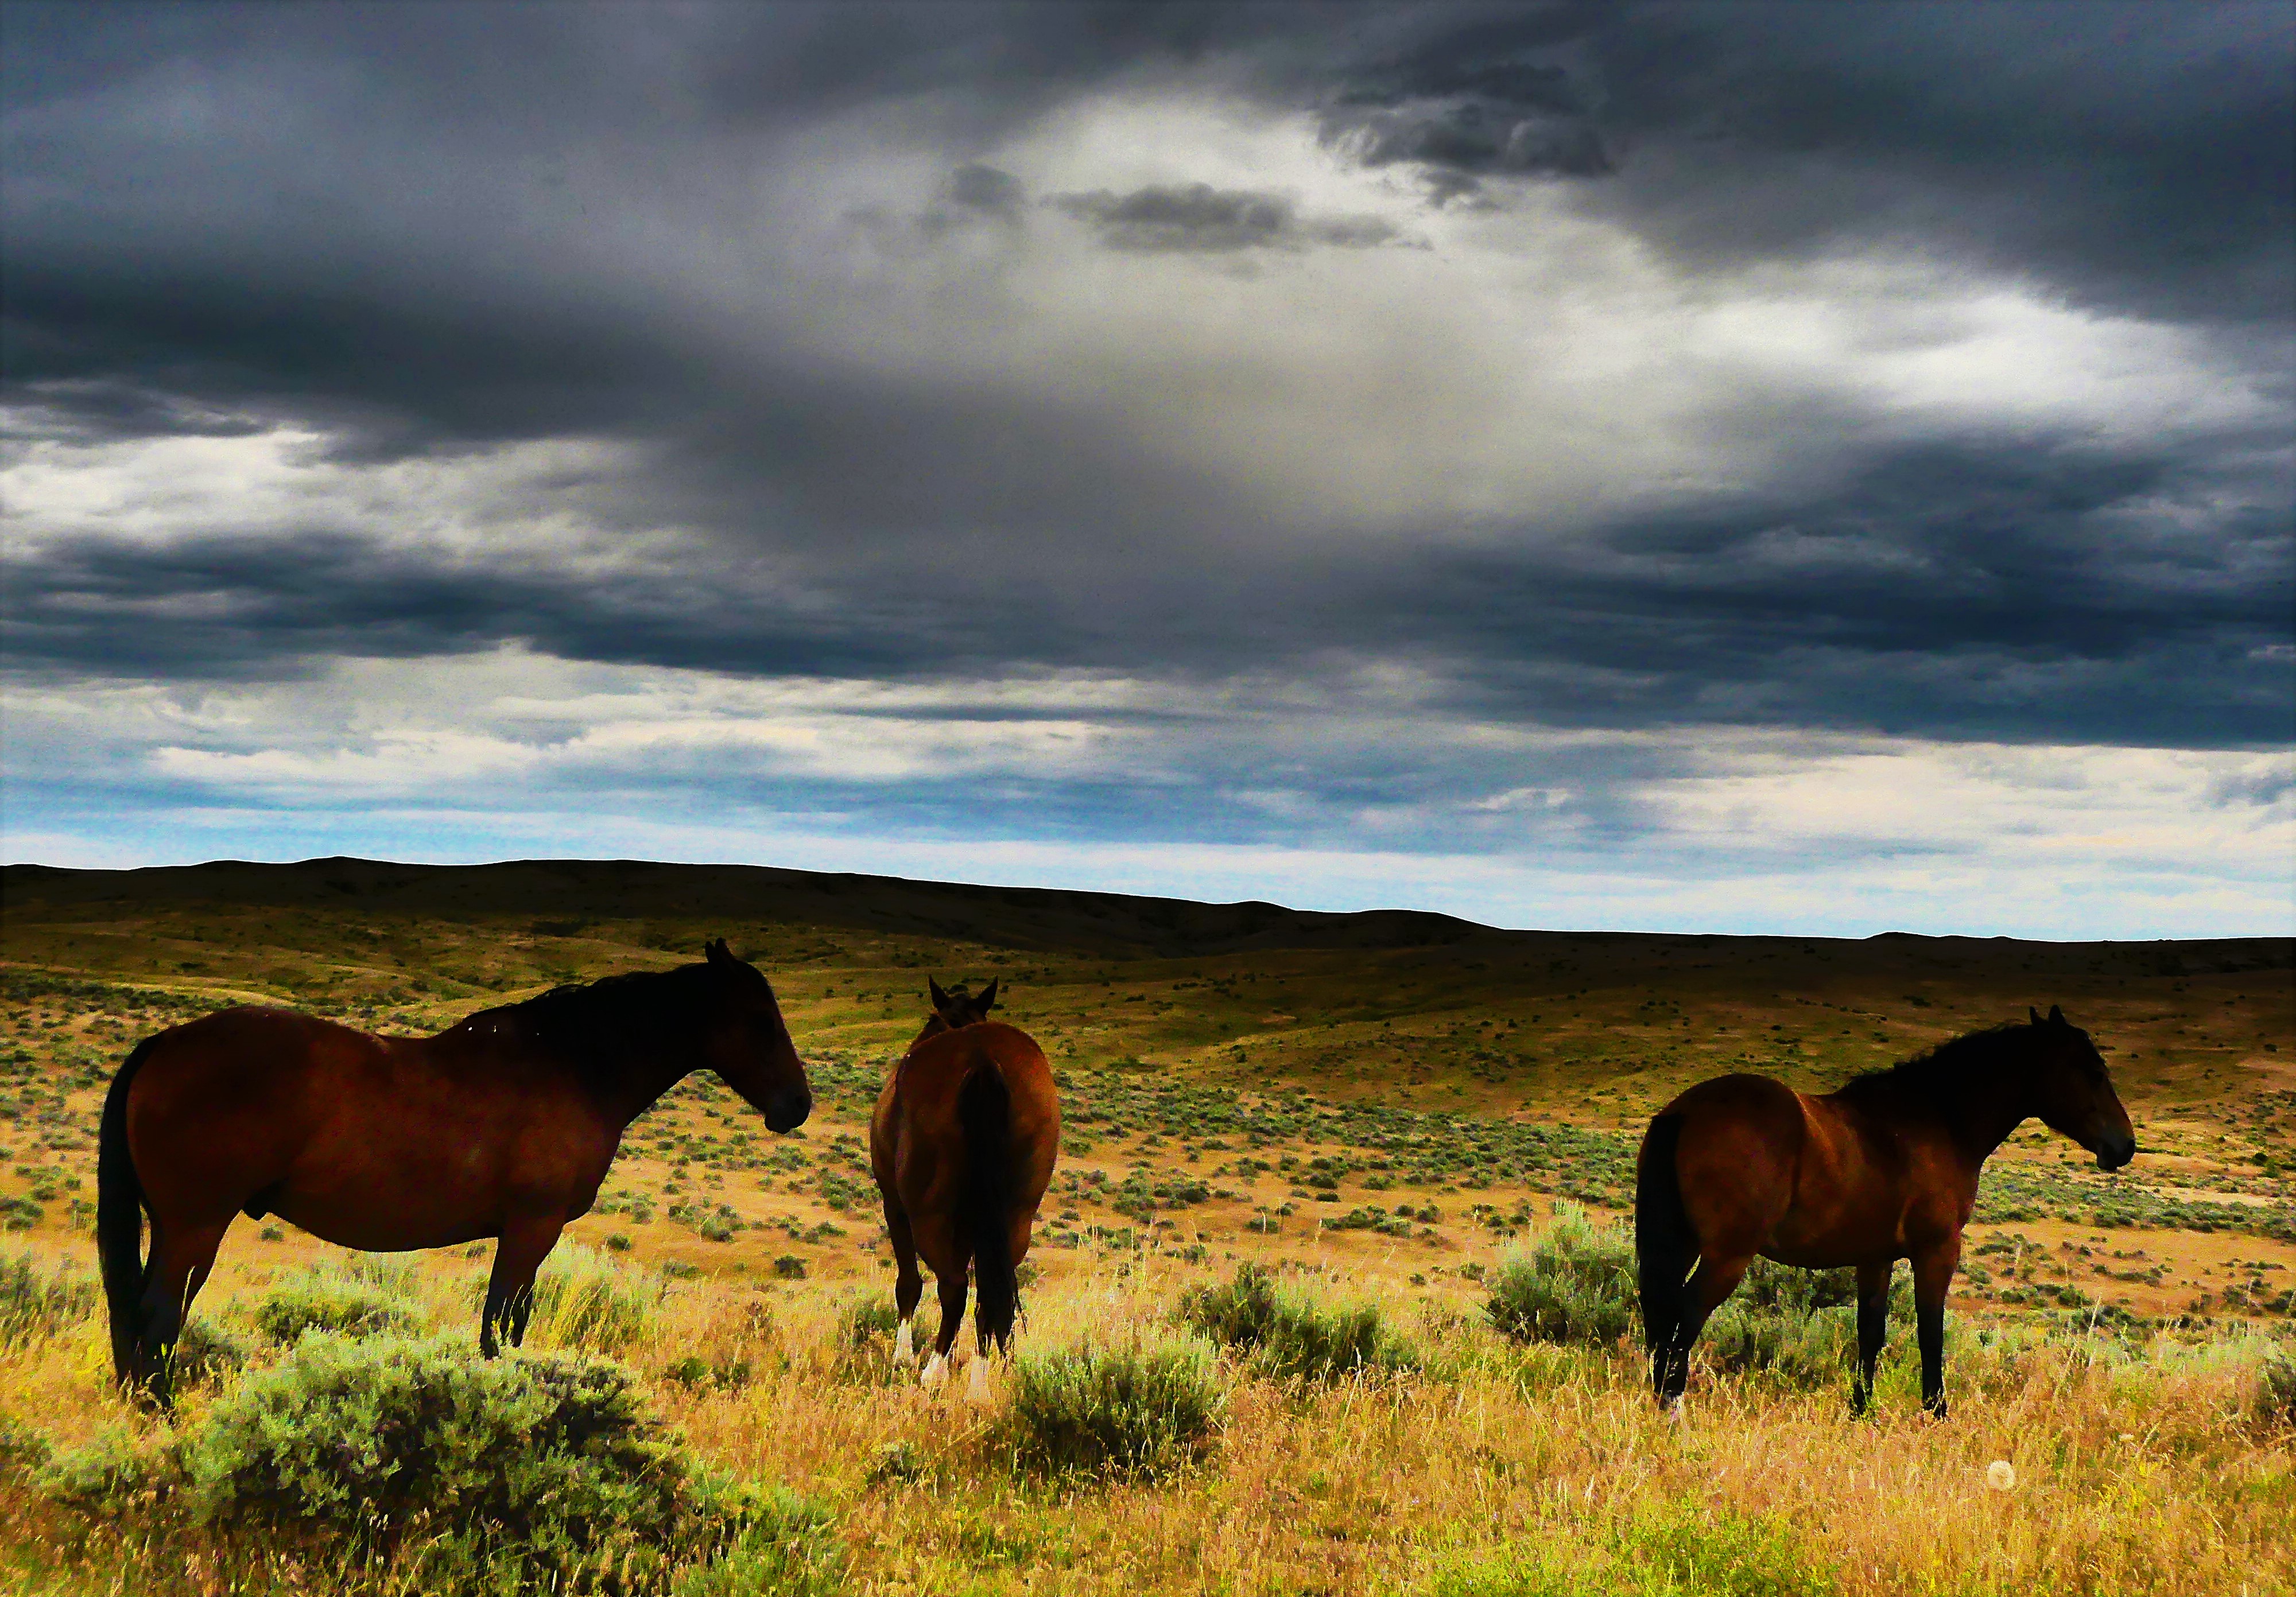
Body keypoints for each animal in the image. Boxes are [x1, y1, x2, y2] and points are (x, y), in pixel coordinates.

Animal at [97, 939, 811, 1402]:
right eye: (759, 1020)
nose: (796, 1105)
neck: (573, 1066)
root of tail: (163, 1043)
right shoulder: (531, 1229)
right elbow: (502, 1328)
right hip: (196, 1226)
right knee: (157, 1322)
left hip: (176, 1227)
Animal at [870, 976, 1060, 1399]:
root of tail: (982, 1058)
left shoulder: (895, 1207)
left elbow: (909, 1283)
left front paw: (903, 1357)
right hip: (1016, 1215)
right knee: (990, 1293)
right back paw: (979, 1382)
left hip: (929, 1213)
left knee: (954, 1286)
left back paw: (933, 1371)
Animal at [1636, 1005, 2134, 1419]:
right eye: (2093, 1073)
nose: (2125, 1146)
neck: (1941, 1120)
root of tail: (1683, 1112)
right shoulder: (1937, 1250)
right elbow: (1930, 1332)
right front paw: (1936, 1412)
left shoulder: (1875, 1256)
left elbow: (1870, 1331)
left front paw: (1861, 1411)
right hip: (1728, 1255)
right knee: (1686, 1315)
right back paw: (1672, 1410)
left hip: (1683, 1244)